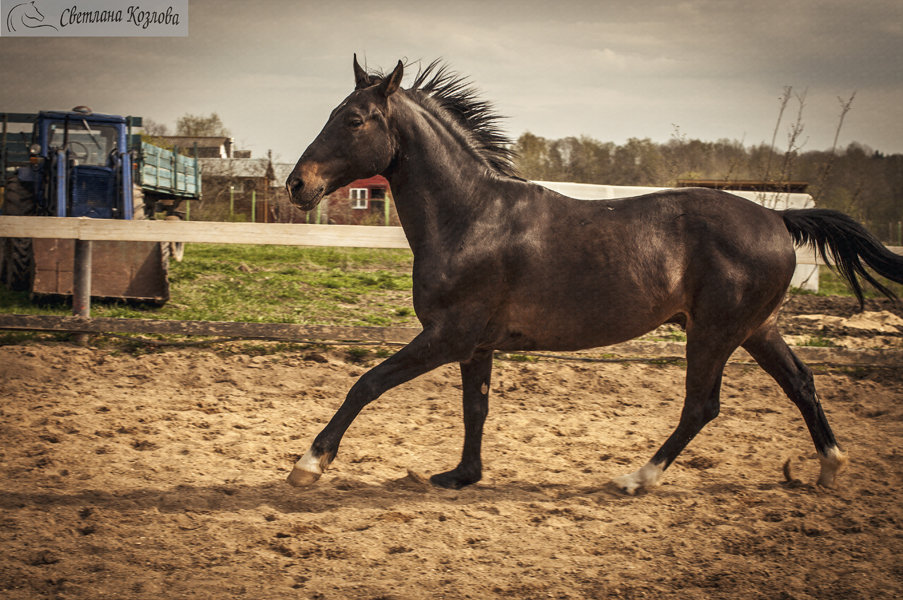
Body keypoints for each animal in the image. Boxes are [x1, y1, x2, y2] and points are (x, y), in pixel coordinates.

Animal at [284, 56, 903, 494]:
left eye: (354, 119)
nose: (296, 184)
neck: (473, 216)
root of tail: (778, 217)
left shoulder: (447, 336)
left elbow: (367, 383)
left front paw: (309, 463)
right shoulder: (475, 345)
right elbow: (475, 407)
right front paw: (461, 476)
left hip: (714, 333)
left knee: (702, 405)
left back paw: (636, 478)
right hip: (755, 329)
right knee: (801, 383)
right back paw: (828, 469)